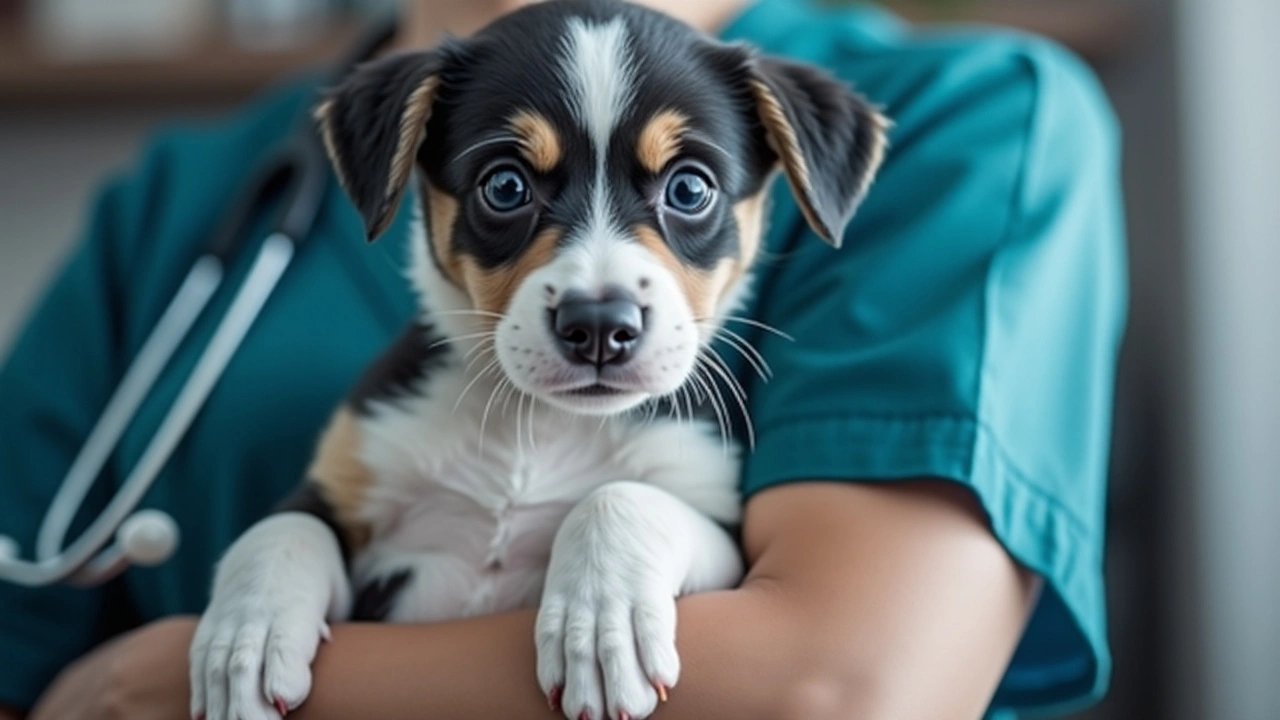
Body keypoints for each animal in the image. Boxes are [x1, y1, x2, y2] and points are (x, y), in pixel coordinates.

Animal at [192, 1, 890, 717]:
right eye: (505, 186)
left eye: (690, 189)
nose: (600, 326)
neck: (542, 426)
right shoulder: (341, 481)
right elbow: (280, 531)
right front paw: (242, 642)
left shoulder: (725, 535)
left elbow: (618, 497)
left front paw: (603, 626)